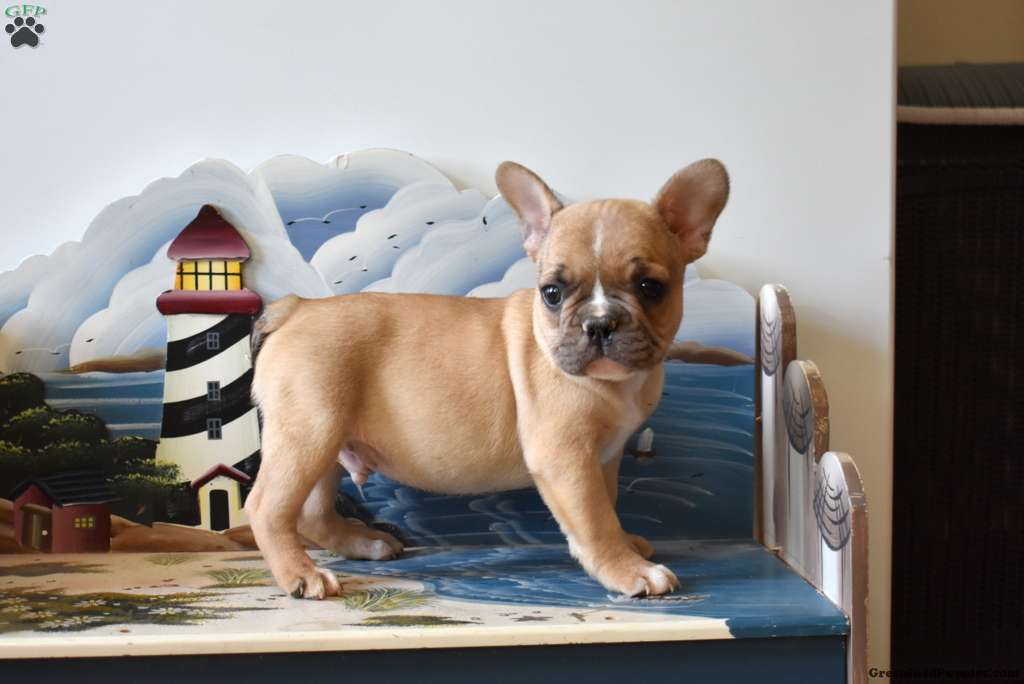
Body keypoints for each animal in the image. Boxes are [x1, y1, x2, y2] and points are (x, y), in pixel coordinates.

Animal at [246, 158, 729, 599]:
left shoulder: (604, 457)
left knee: (311, 513)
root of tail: (296, 307)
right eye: (552, 293)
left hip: (323, 443)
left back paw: (362, 543)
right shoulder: (566, 458)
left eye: (651, 288)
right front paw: (626, 569)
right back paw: (302, 575)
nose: (599, 323)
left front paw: (627, 546)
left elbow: (607, 503)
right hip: (309, 433)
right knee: (267, 507)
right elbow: (594, 518)